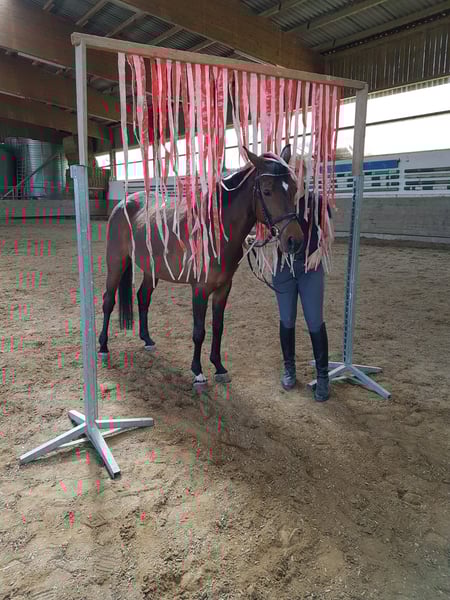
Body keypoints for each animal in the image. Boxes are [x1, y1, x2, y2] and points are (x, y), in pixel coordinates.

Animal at [98, 144, 304, 387]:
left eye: (293, 189)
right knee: (108, 301)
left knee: (143, 297)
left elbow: (218, 327)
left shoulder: (224, 288)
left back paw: (147, 340)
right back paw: (103, 347)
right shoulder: (200, 289)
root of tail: (123, 203)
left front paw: (219, 367)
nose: (294, 240)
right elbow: (199, 331)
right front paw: (198, 372)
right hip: (116, 262)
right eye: (267, 191)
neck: (214, 231)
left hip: (151, 269)